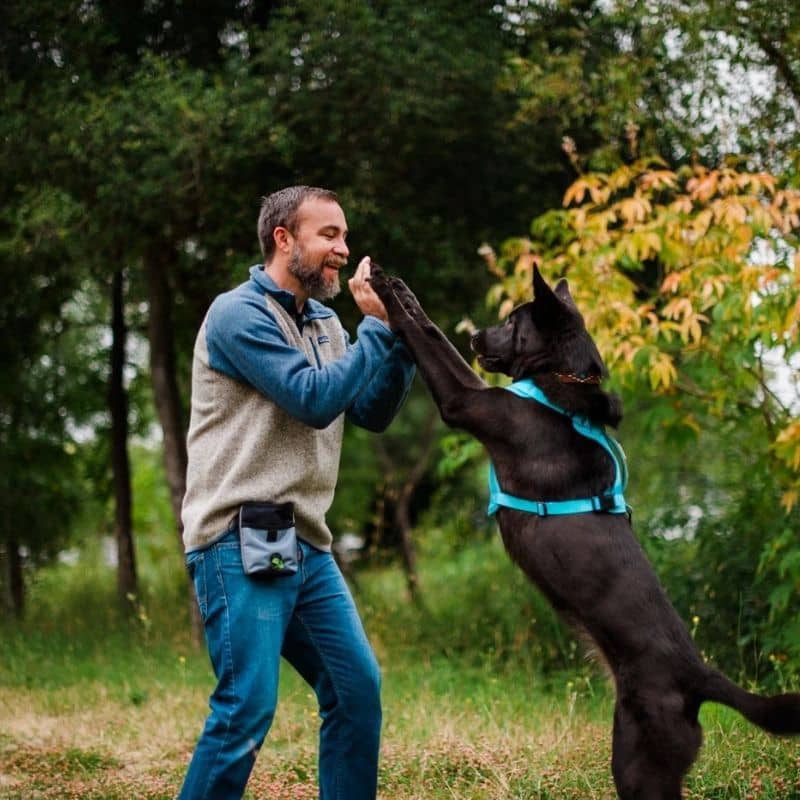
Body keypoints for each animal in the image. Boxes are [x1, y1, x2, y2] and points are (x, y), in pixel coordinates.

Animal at [368, 266, 800, 800]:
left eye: (511, 322)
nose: (475, 336)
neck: (557, 380)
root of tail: (699, 677)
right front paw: (400, 288)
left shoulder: (465, 400)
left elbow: (428, 336)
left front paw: (384, 288)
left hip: (638, 763)